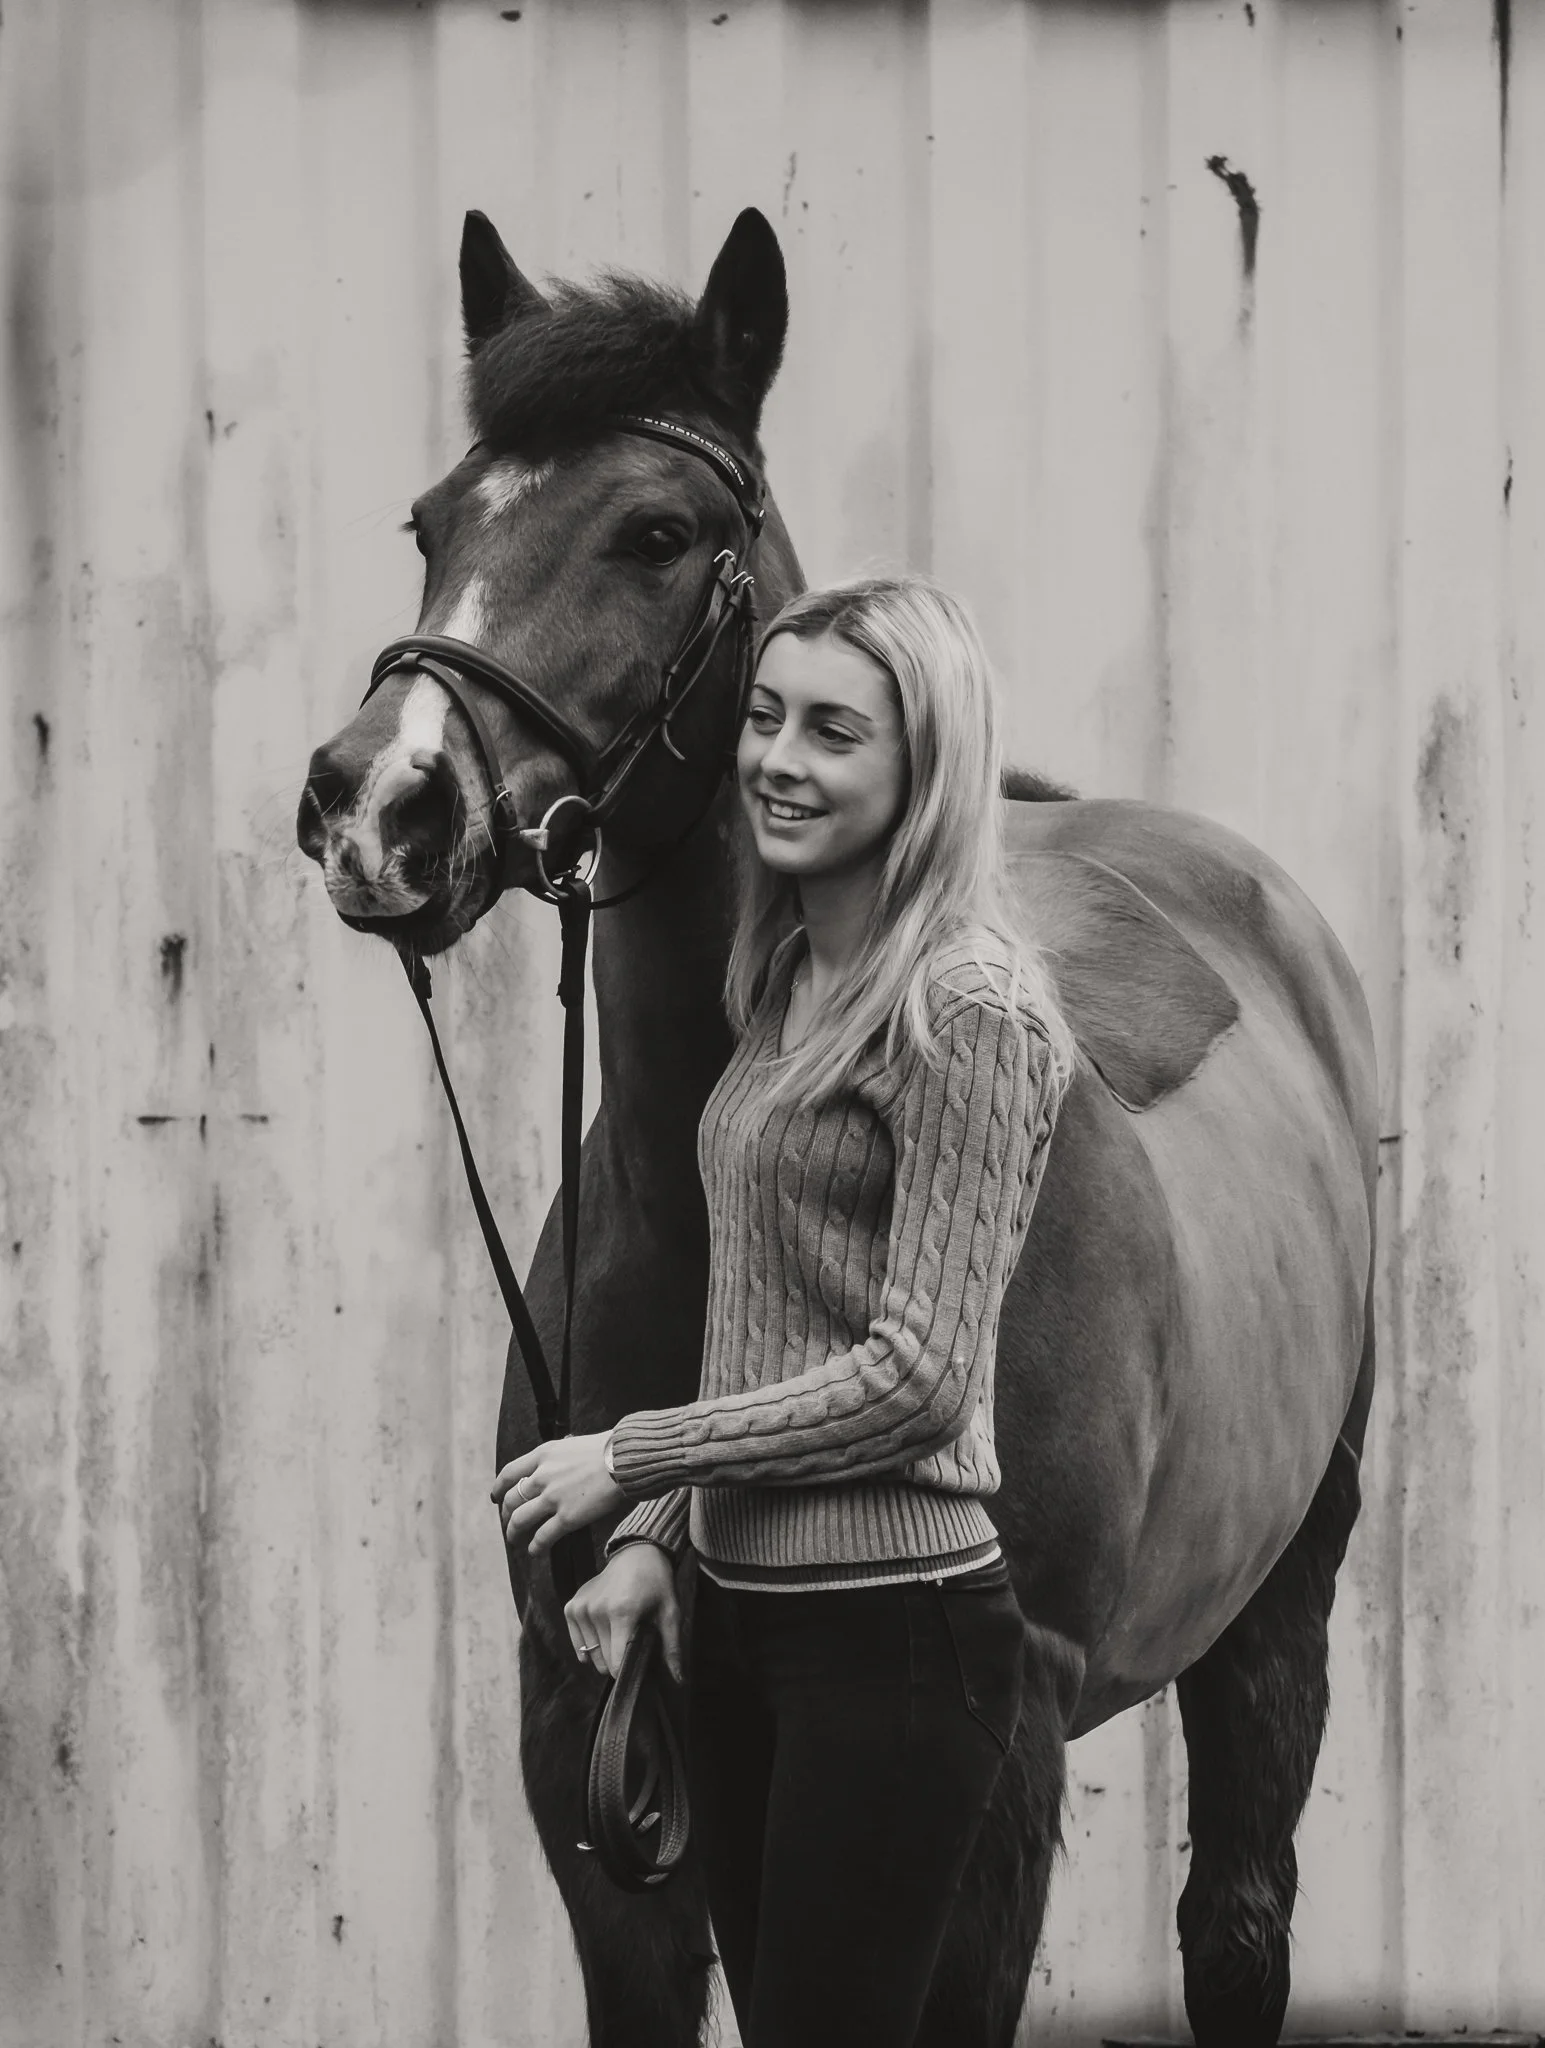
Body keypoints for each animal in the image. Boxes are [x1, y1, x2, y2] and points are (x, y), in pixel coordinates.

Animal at [296, 206, 1376, 2048]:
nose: (377, 805)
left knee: (1238, 1918)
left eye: (660, 531)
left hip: (1277, 1600)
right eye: (431, 521)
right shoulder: (591, 1744)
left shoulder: (993, 1760)